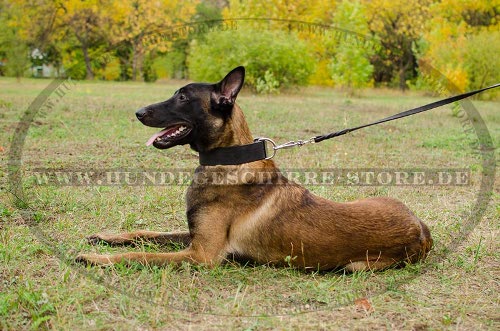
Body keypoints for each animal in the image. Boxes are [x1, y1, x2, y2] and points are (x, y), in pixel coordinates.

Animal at [76, 67, 432, 272]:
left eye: (182, 97)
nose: (138, 112)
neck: (228, 159)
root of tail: (422, 230)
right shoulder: (194, 238)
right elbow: (145, 234)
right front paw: (106, 237)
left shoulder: (202, 254)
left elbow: (141, 256)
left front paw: (95, 258)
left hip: (356, 266)